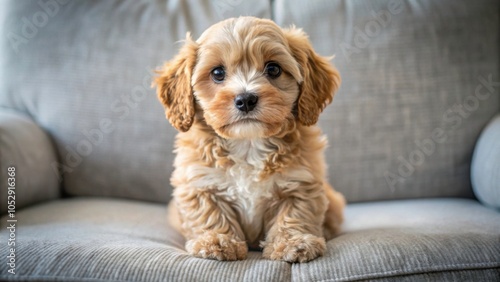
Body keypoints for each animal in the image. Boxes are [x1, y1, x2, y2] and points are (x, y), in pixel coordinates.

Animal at [154, 16, 346, 264]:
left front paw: (293, 242)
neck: (248, 143)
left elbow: (295, 214)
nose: (245, 99)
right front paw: (217, 240)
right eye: (217, 73)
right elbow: (210, 213)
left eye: (273, 69)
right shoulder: (198, 182)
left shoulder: (302, 182)